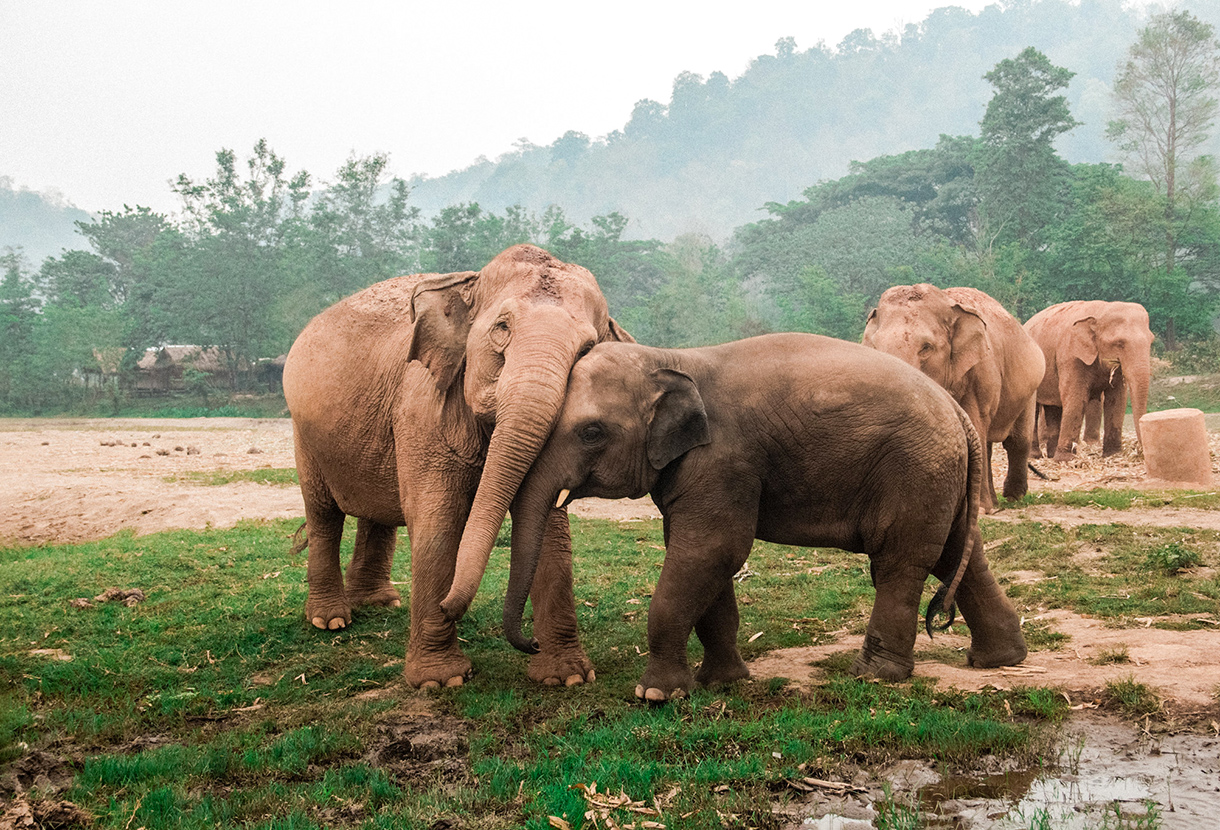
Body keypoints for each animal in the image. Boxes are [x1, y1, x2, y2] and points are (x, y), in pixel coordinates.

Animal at [281, 245, 634, 688]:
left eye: (587, 350)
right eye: (502, 328)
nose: (530, 643)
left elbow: (547, 524)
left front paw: (568, 678)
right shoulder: (422, 408)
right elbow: (438, 521)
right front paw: (441, 681)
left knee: (378, 511)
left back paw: (380, 603)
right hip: (305, 433)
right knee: (324, 512)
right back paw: (330, 621)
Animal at [444, 329, 1024, 698]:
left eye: (590, 431)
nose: (531, 643)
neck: (670, 356)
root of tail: (959, 415)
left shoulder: (722, 459)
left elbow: (711, 549)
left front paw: (656, 695)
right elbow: (705, 558)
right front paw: (721, 683)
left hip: (914, 470)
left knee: (899, 563)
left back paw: (873, 677)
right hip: (938, 477)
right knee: (957, 554)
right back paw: (1000, 660)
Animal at [863, 281, 1044, 510]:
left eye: (926, 348)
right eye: (876, 347)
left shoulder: (981, 370)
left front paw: (979, 509)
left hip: (1029, 387)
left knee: (1017, 440)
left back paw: (1013, 497)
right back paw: (994, 502)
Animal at [1019, 300, 1151, 456]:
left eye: (1151, 341)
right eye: (1120, 343)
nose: (1140, 451)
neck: (1101, 310)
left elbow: (1117, 399)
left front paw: (1113, 455)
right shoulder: (1070, 355)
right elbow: (1076, 396)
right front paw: (1066, 458)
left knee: (1053, 407)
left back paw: (1051, 455)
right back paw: (1035, 455)